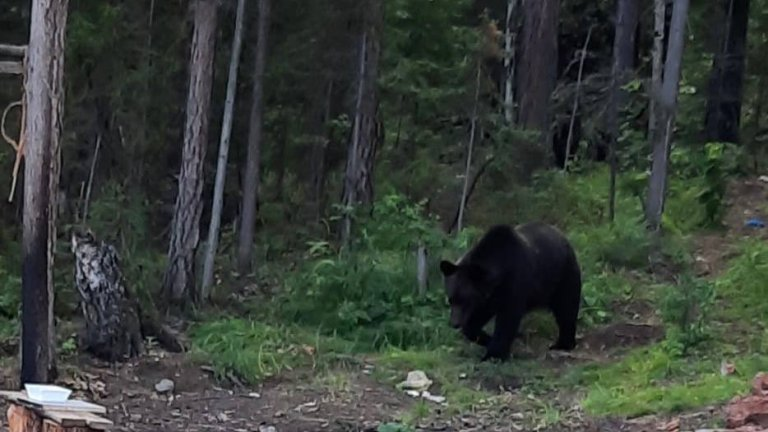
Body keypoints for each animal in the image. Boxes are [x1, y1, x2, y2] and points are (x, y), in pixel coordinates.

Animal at [438, 223, 584, 362]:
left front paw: (493, 355)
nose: (454, 323)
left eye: (465, 300)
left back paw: (563, 344)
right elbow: (474, 322)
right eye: (450, 299)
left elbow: (507, 320)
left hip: (563, 276)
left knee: (567, 309)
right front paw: (486, 339)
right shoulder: (488, 298)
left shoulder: (514, 282)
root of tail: (563, 237)